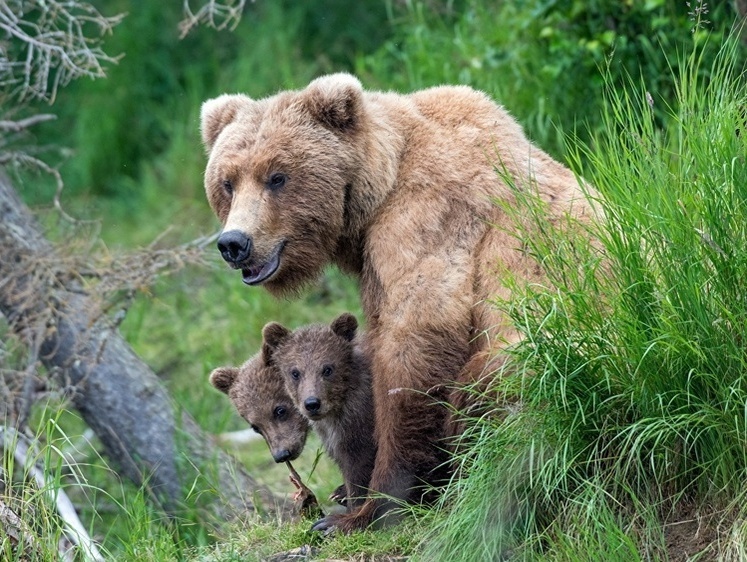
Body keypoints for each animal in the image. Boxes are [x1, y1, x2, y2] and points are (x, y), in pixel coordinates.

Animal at [200, 73, 596, 528]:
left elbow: (415, 339)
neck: (378, 188)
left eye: (277, 176)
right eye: (228, 182)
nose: (234, 243)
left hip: (558, 362)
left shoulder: (422, 219)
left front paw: (370, 506)